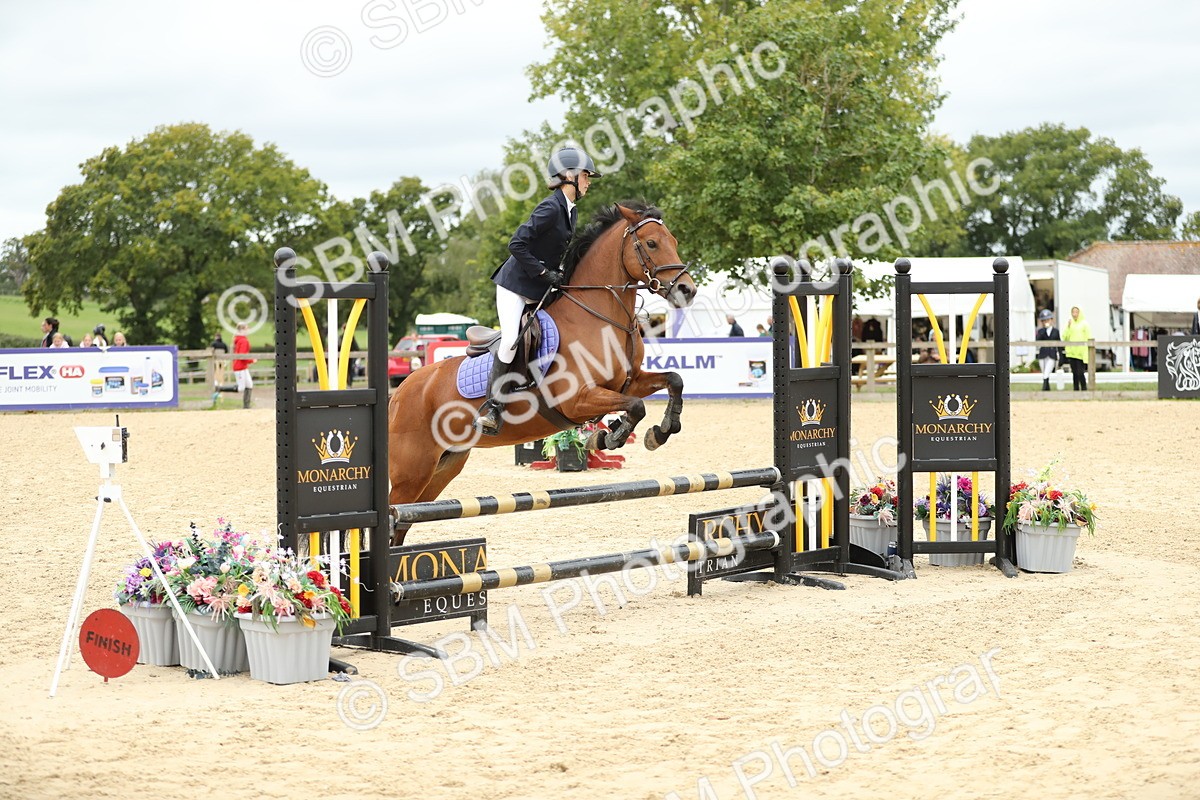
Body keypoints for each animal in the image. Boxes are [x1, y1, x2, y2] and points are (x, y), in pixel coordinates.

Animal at [387, 201, 697, 544]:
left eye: (674, 241)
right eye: (652, 243)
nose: (687, 290)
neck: (600, 317)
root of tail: (400, 392)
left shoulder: (629, 382)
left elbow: (674, 380)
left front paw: (661, 430)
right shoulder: (578, 399)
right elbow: (636, 407)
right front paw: (608, 437)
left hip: (445, 464)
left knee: (403, 522)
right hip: (412, 470)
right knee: (391, 514)